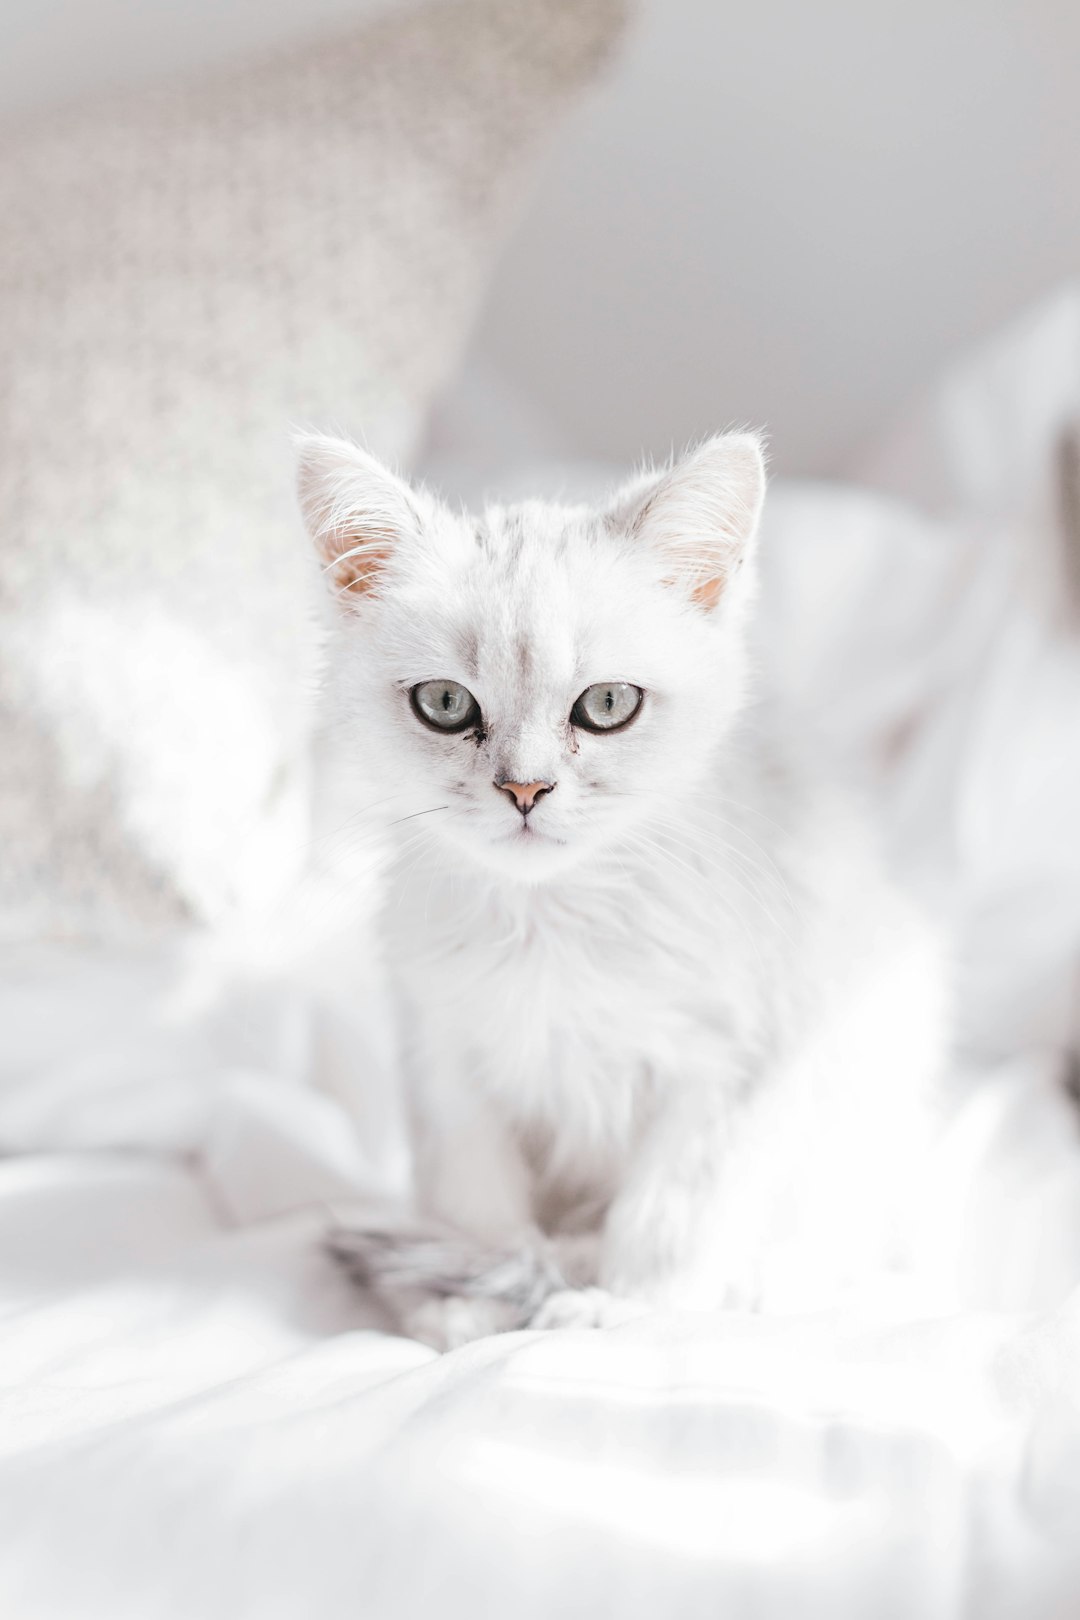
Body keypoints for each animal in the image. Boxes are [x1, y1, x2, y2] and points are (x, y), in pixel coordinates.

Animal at [297, 434, 945, 1354]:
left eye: (606, 704)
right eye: (445, 703)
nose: (524, 790)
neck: (554, 922)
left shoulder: (734, 1062)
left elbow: (668, 1213)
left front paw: (627, 1308)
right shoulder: (444, 1054)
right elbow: (477, 1204)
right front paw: (471, 1301)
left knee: (845, 1229)